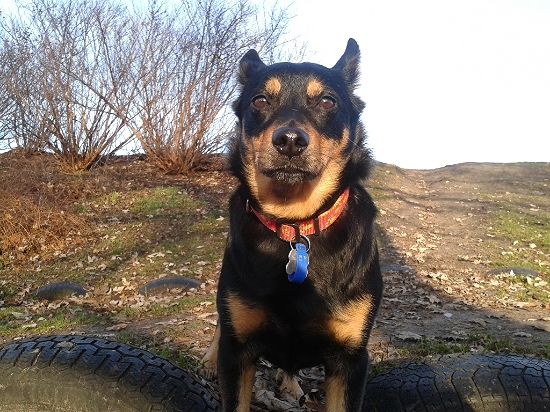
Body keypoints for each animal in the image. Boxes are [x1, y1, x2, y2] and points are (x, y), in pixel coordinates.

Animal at [202, 38, 382, 412]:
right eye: (259, 100)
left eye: (328, 101)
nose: (289, 140)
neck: (295, 224)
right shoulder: (238, 350)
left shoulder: (350, 360)